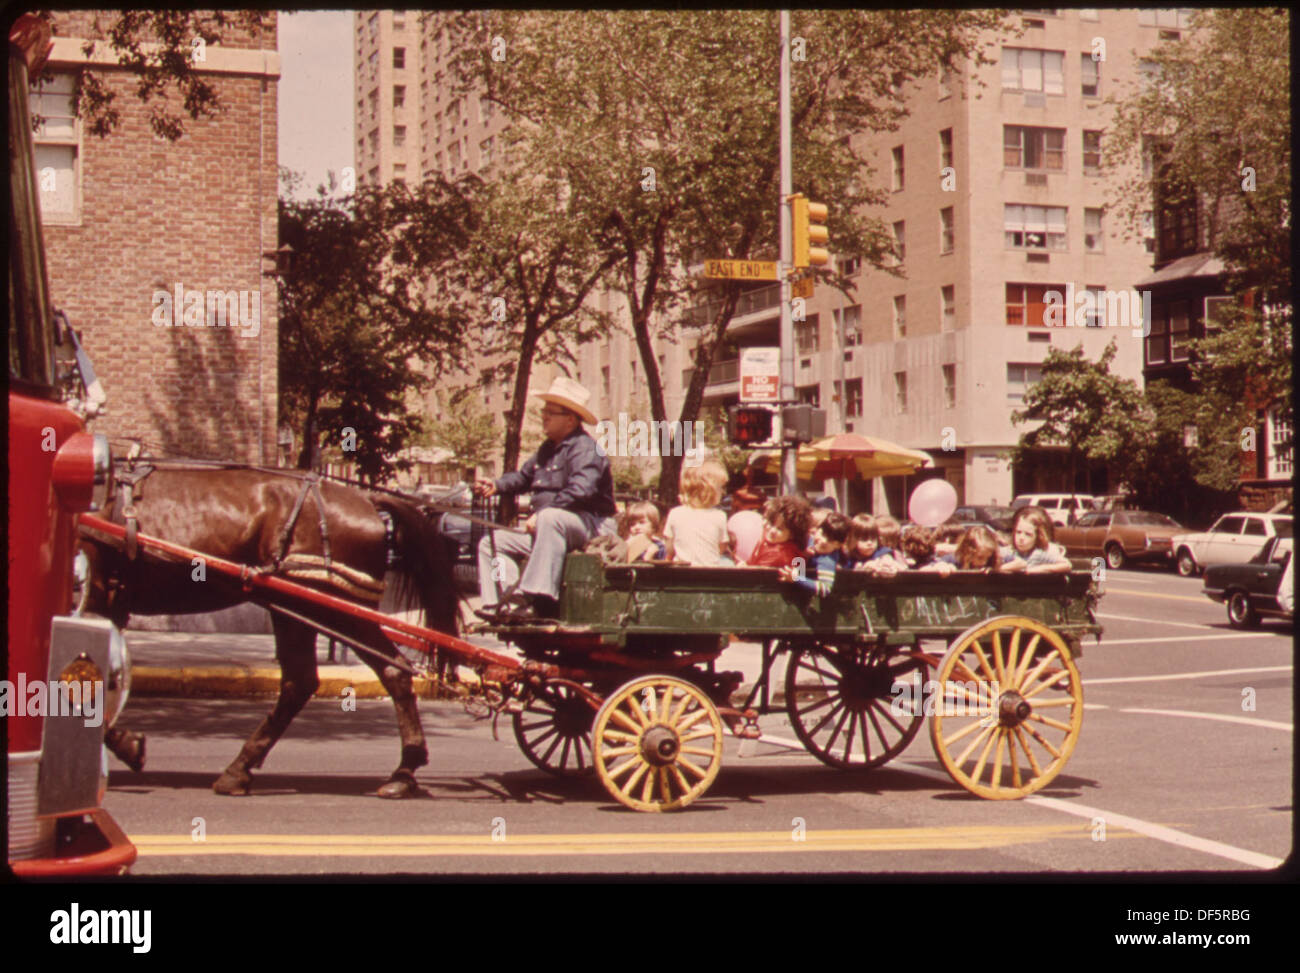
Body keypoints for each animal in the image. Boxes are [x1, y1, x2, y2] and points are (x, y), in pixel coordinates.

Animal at [78, 463, 460, 796]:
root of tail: (365, 500)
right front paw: (124, 744)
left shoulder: (91, 597)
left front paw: (125, 744)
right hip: (303, 612)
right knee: (313, 680)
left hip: (330, 609)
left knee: (382, 673)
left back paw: (403, 771)